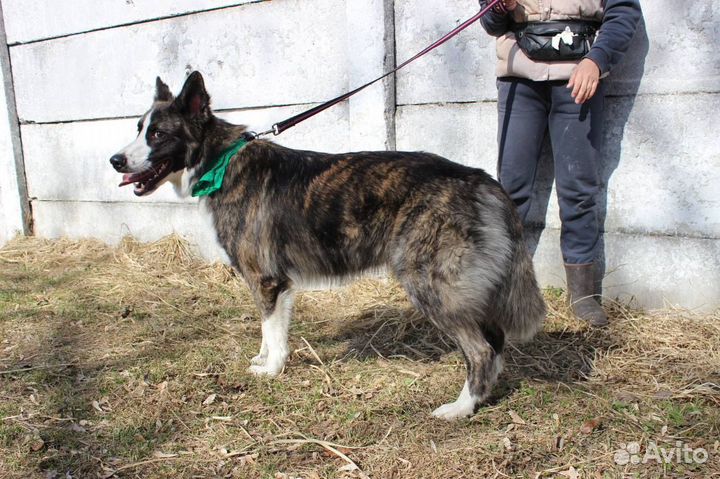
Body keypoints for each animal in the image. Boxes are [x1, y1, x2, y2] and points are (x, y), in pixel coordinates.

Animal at [107, 71, 544, 420]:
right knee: (495, 342)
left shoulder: (267, 281)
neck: (221, 160)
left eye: (158, 134)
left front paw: (272, 370)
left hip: (432, 287)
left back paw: (460, 408)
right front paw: (264, 360)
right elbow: (268, 329)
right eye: (137, 128)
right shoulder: (272, 284)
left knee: (481, 350)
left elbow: (272, 331)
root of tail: (479, 179)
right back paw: (482, 397)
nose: (115, 160)